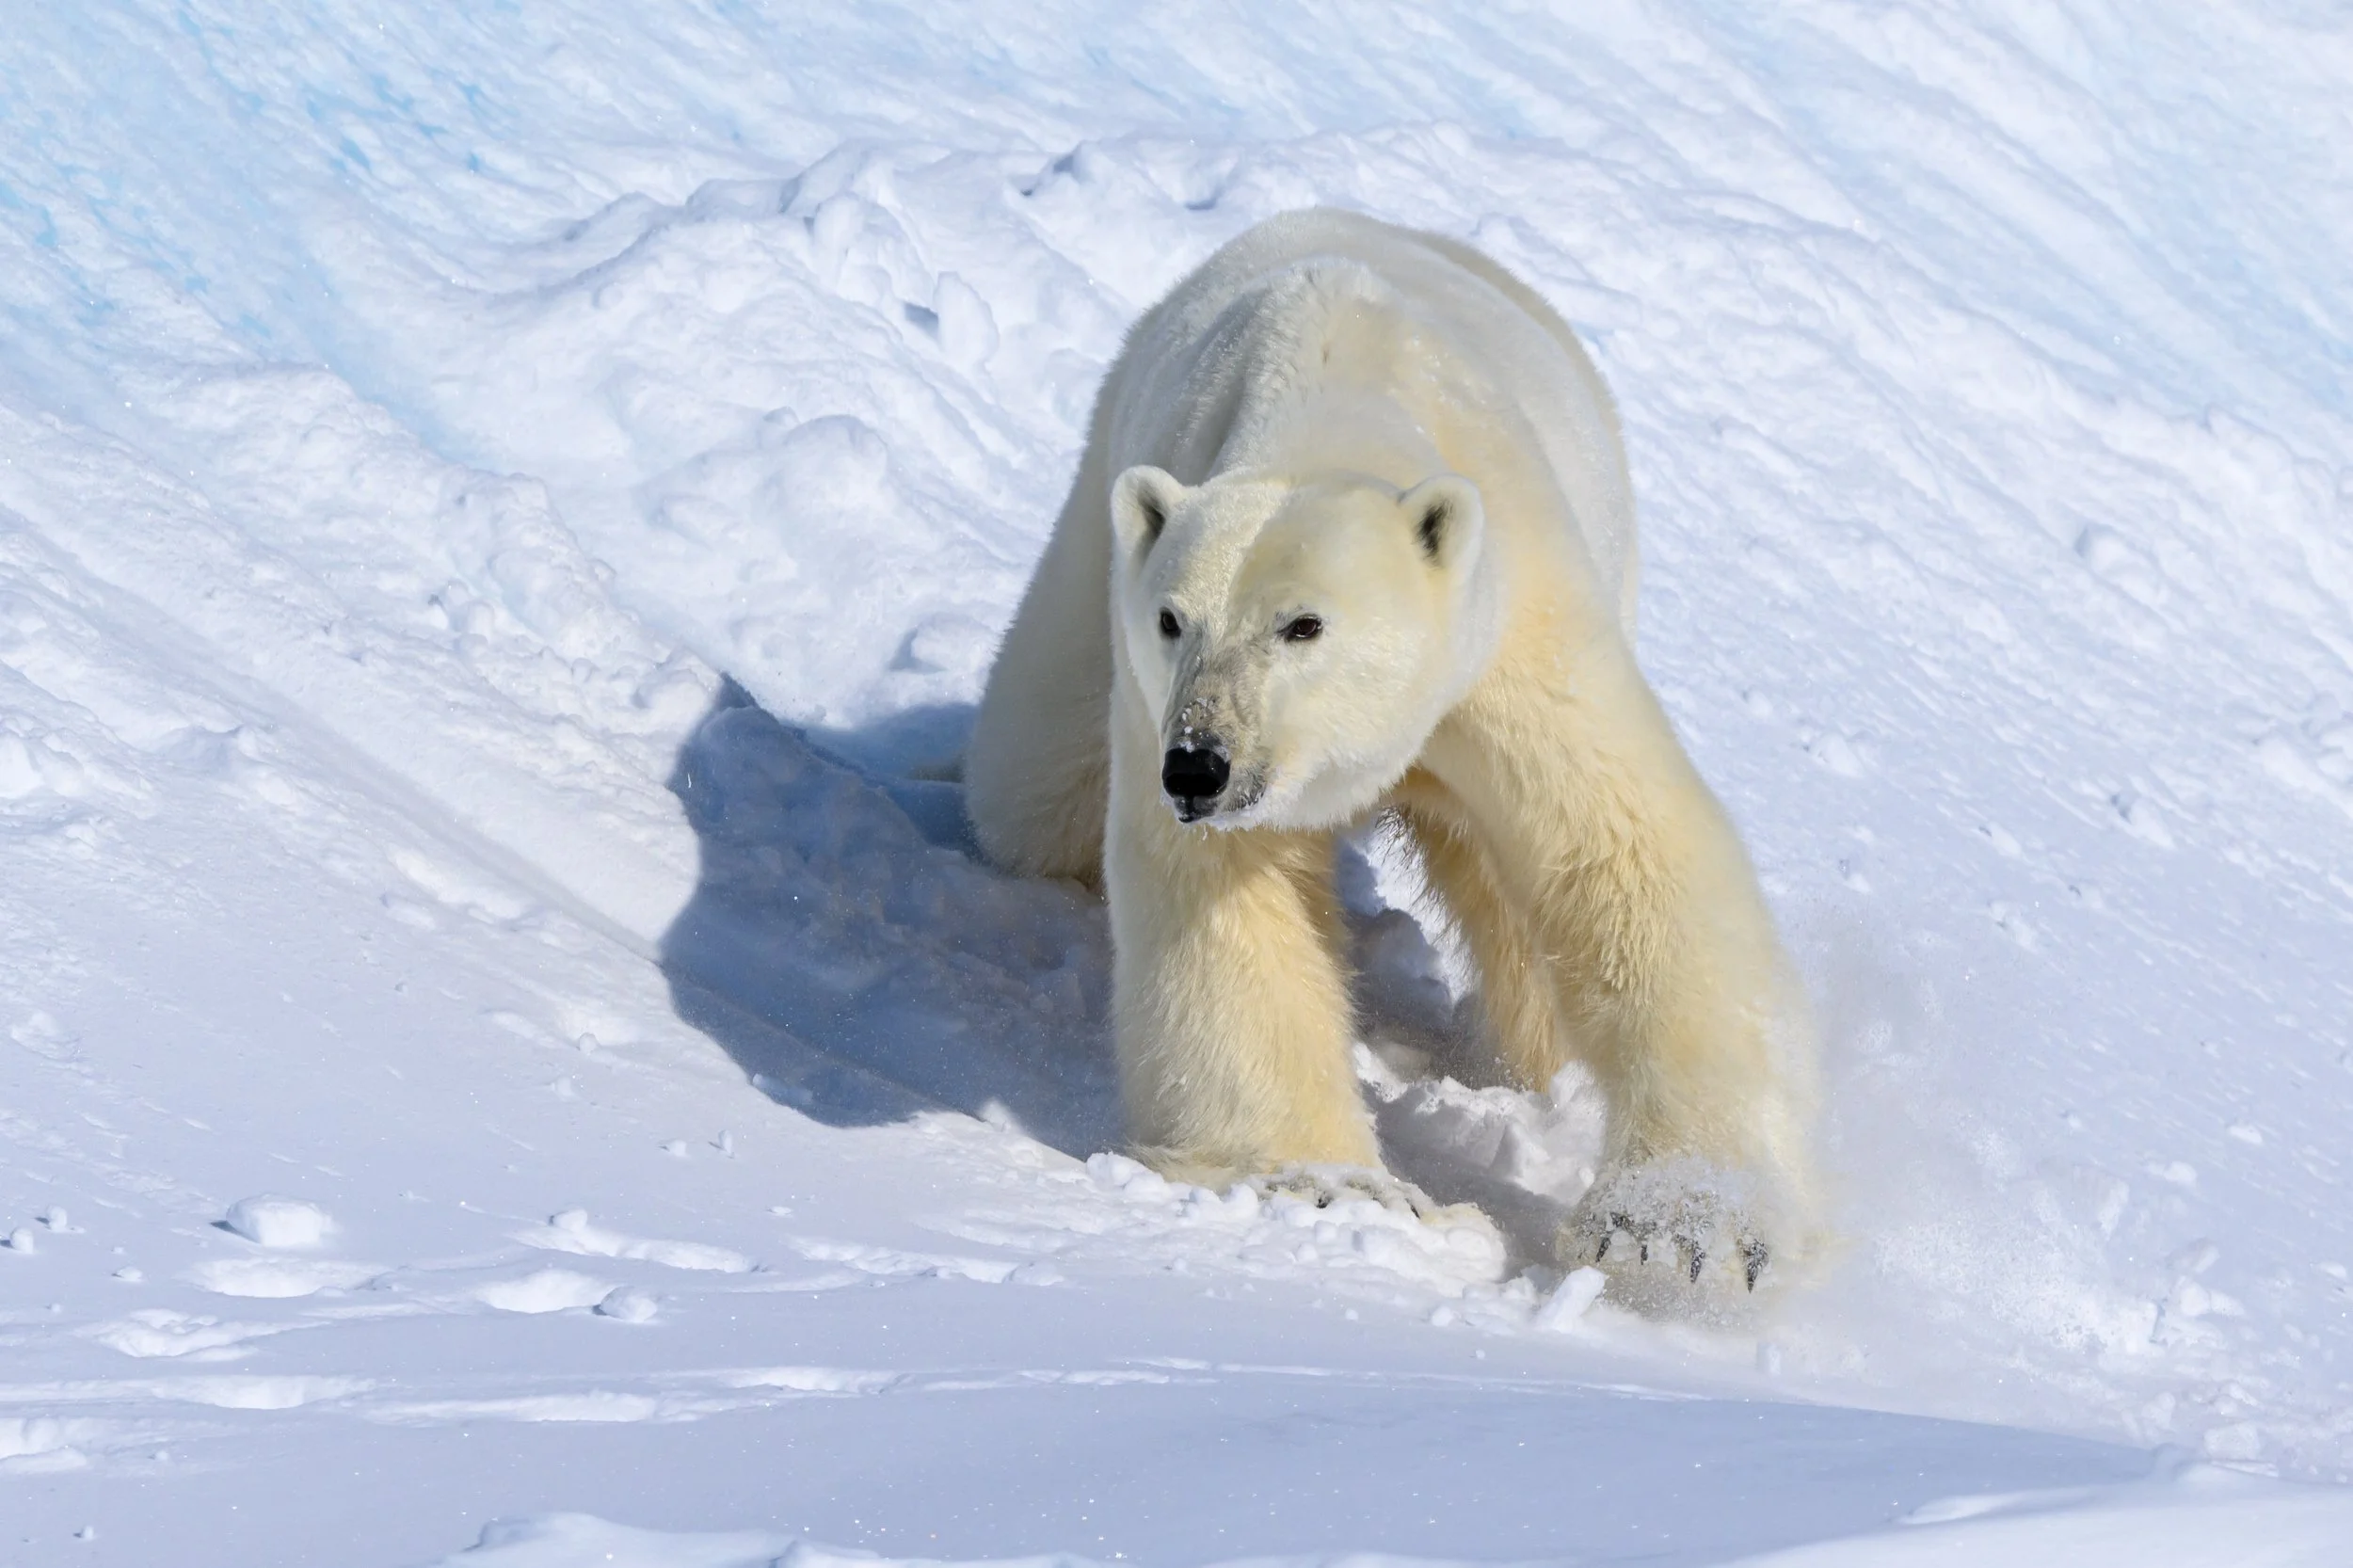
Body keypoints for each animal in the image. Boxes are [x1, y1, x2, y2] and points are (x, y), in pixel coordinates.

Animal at [965, 209, 1816, 1299]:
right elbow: (1230, 903)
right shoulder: (1156, 686)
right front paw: (1337, 1189)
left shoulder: (1514, 627)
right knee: (1034, 781)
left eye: (1303, 624)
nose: (1198, 767)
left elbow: (1621, 853)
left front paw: (1675, 1234)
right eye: (1172, 619)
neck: (1334, 401)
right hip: (1087, 576)